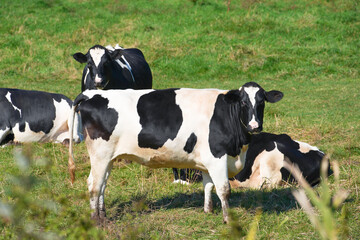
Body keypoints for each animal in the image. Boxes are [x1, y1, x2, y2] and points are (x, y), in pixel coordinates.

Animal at [68, 82, 284, 223]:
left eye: (261, 102)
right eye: (243, 103)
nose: (255, 126)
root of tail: (89, 94)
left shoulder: (206, 160)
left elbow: (208, 186)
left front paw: (208, 211)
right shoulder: (217, 157)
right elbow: (224, 189)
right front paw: (228, 219)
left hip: (109, 157)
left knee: (102, 184)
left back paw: (103, 215)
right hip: (100, 154)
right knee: (94, 185)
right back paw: (96, 220)